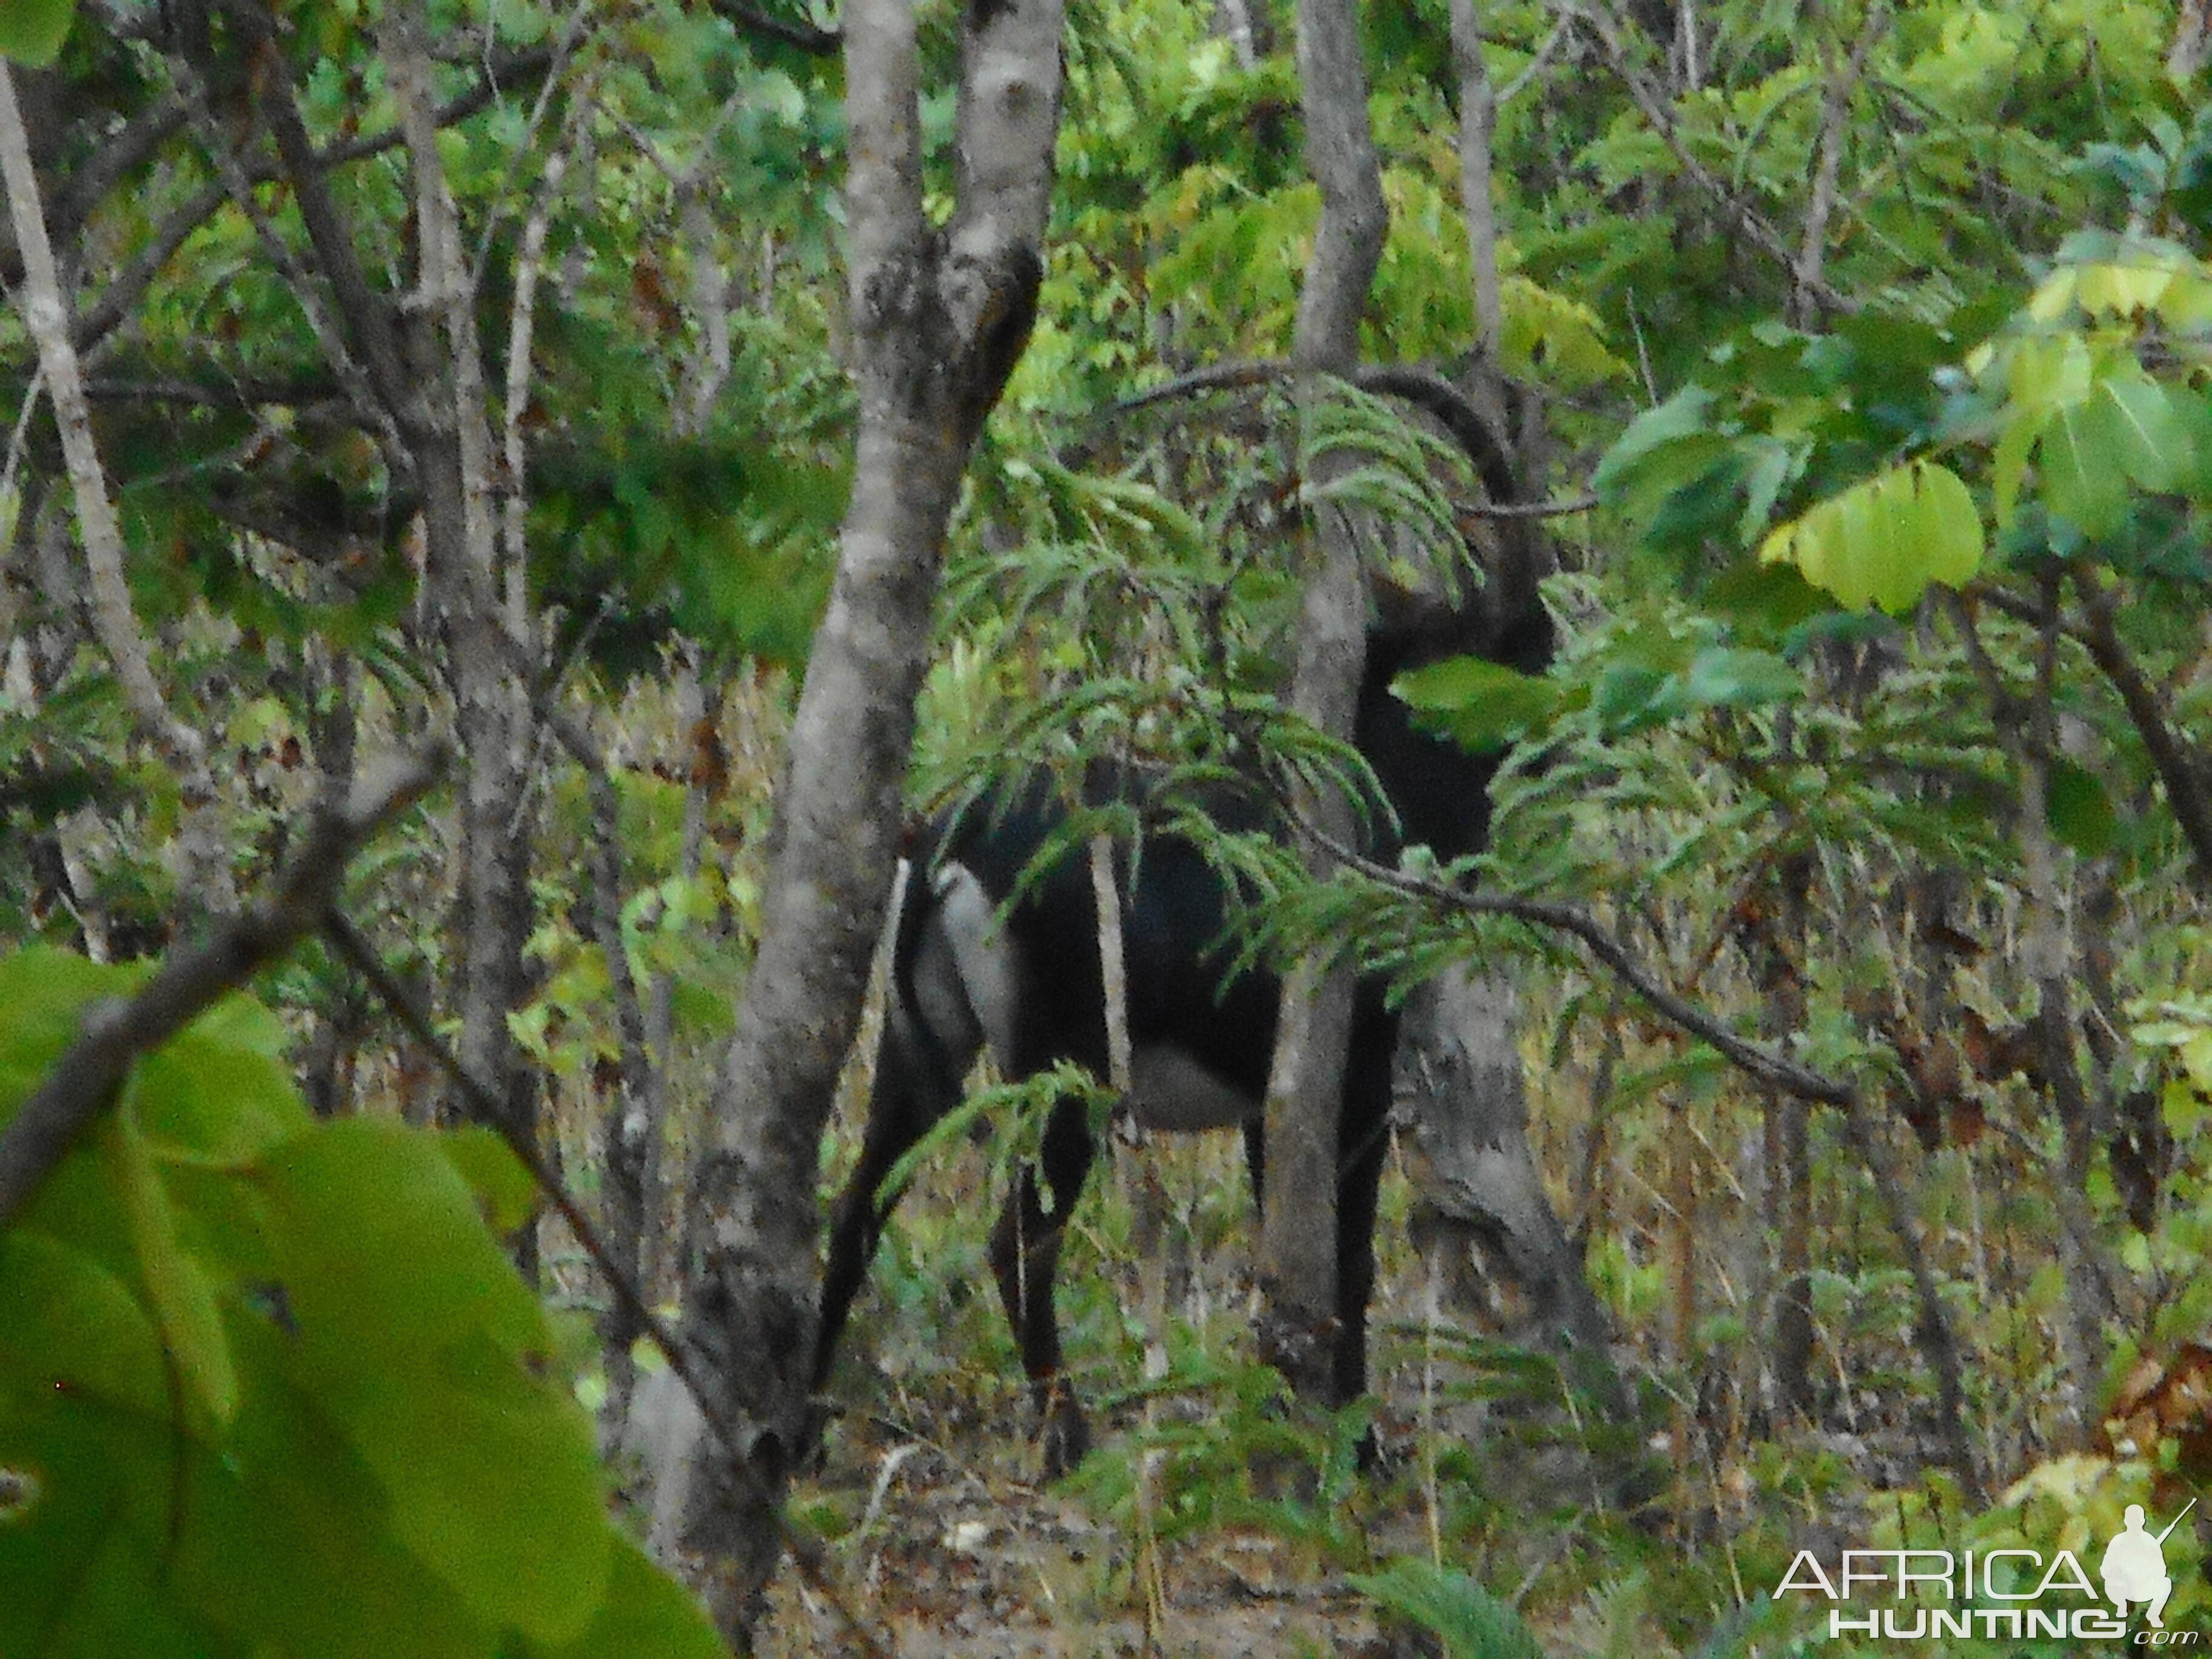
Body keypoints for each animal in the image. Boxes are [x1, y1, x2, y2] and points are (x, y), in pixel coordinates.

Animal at [814, 380, 1557, 1477]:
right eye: (1517, 650)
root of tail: (950, 837)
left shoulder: (1266, 1105)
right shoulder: (1350, 1085)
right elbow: (1346, 1258)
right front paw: (1358, 1444)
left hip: (916, 1049)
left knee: (858, 1210)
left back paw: (802, 1424)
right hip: (1066, 1069)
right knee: (1015, 1240)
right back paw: (1069, 1439)